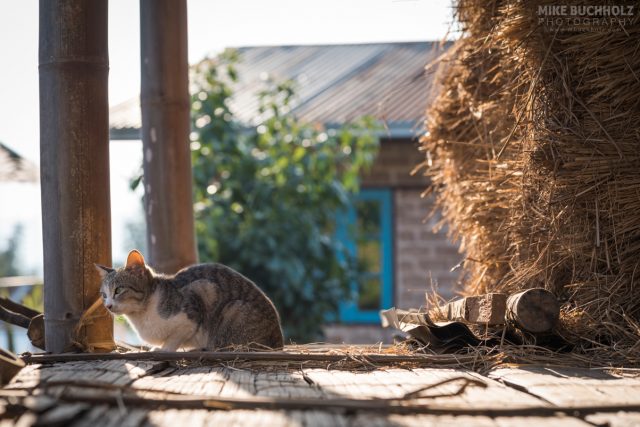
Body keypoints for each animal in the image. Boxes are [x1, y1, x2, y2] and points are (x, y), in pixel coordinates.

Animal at [95, 251, 284, 352]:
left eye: (118, 290)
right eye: (104, 295)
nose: (108, 305)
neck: (142, 316)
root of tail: (279, 342)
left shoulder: (198, 296)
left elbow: (175, 337)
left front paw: (165, 349)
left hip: (233, 310)